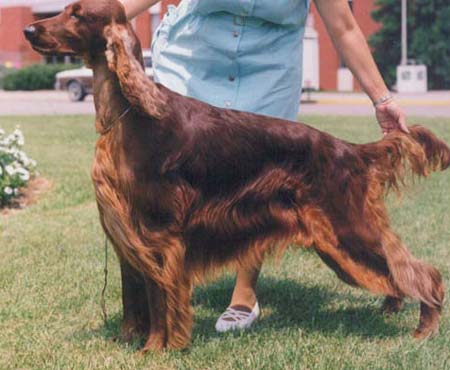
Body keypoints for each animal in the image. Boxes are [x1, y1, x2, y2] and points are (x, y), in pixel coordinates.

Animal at [25, 0, 450, 352]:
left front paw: (156, 349)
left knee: (421, 271)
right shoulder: (127, 234)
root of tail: (351, 149)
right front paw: (128, 342)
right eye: (65, 9)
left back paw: (423, 330)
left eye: (77, 14)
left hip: (349, 229)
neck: (128, 115)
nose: (30, 30)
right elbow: (134, 299)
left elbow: (160, 301)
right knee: (397, 271)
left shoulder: (159, 234)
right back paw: (394, 308)